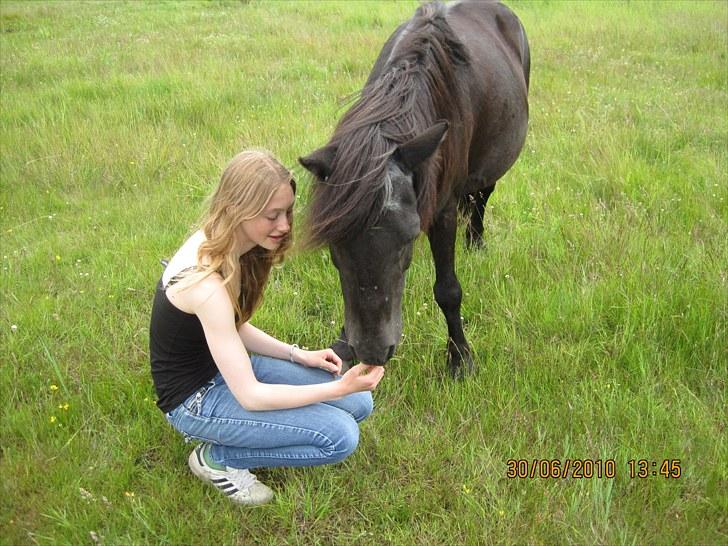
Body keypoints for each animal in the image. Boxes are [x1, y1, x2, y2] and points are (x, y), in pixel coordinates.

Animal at [298, 0, 532, 376]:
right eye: (333, 242)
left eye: (409, 237)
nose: (373, 352)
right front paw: (342, 347)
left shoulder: (443, 210)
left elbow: (448, 290)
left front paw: (460, 358)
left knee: (481, 198)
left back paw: (476, 242)